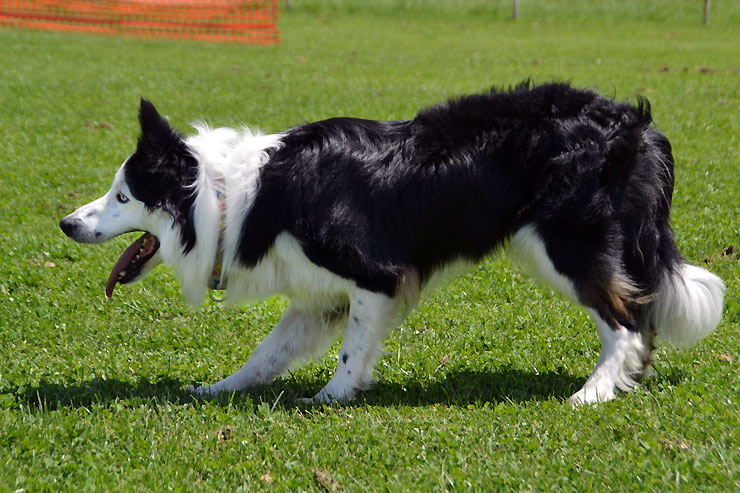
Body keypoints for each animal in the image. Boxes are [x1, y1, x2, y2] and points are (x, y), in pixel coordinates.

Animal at [60, 82, 725, 404]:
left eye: (123, 196)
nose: (66, 224)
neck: (225, 197)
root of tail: (636, 121)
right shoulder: (318, 296)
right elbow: (266, 353)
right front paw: (219, 389)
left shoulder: (373, 275)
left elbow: (352, 350)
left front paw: (332, 397)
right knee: (641, 312)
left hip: (568, 243)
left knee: (625, 319)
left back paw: (594, 392)